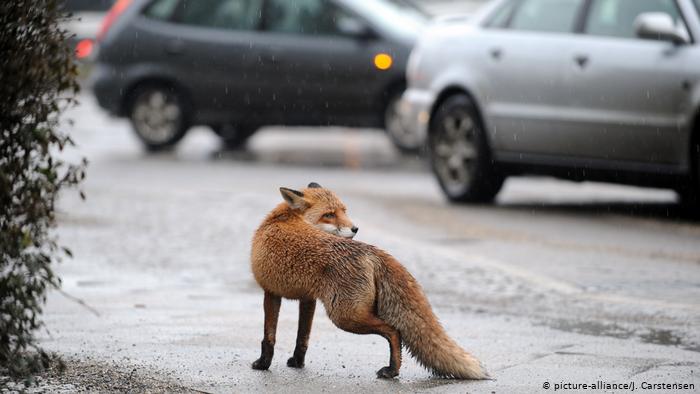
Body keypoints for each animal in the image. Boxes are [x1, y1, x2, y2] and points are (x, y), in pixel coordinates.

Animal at [250, 183, 486, 380]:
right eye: (329, 215)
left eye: (344, 211)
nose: (355, 228)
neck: (283, 218)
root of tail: (371, 250)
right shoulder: (308, 299)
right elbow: (303, 337)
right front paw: (297, 362)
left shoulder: (270, 292)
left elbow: (268, 336)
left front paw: (263, 364)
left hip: (345, 316)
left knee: (394, 331)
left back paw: (391, 370)